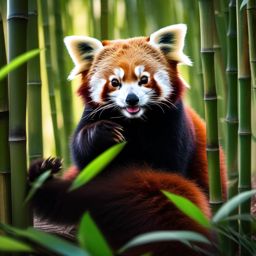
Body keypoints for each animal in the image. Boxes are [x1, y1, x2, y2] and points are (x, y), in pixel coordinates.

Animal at [29, 24, 227, 256]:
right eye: (115, 82)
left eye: (144, 79)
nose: (132, 99)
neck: (134, 121)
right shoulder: (91, 115)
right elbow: (85, 158)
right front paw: (101, 134)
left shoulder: (173, 123)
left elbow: (168, 166)